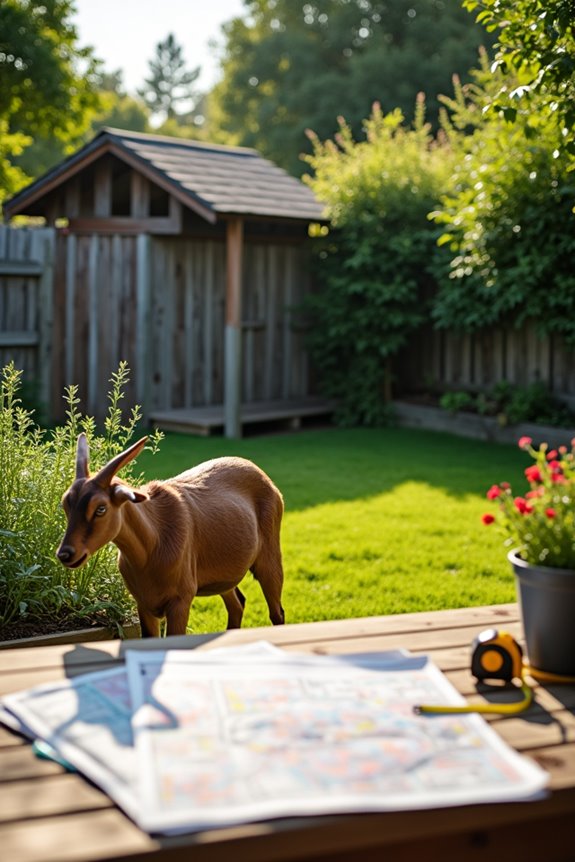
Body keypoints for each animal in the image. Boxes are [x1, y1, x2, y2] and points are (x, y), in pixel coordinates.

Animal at [56, 433, 285, 637]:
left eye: (100, 509)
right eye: (66, 503)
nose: (65, 554)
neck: (153, 545)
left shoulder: (180, 600)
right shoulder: (144, 604)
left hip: (269, 557)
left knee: (277, 613)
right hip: (224, 575)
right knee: (237, 604)